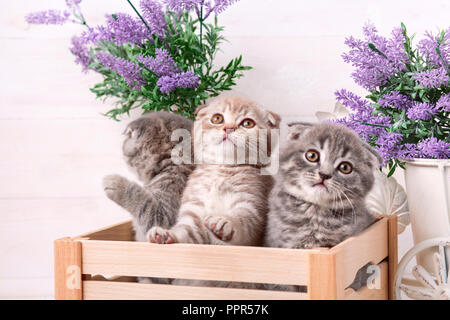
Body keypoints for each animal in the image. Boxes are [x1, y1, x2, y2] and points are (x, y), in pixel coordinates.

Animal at [148, 95, 280, 248]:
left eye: (247, 123)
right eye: (217, 118)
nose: (228, 128)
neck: (221, 171)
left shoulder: (252, 205)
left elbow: (244, 222)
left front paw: (226, 222)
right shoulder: (194, 213)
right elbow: (186, 231)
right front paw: (166, 234)